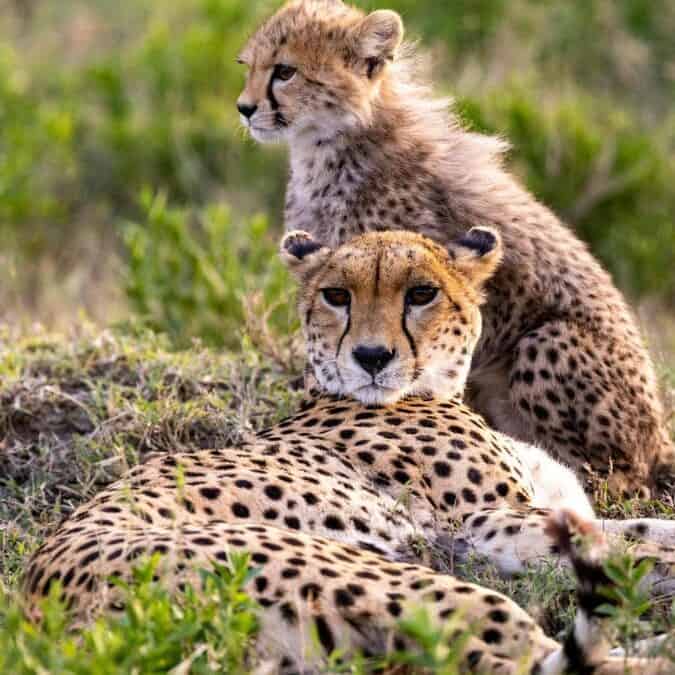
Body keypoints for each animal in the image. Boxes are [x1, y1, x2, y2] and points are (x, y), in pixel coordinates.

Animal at [236, 0, 675, 497]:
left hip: (546, 342)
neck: (333, 144)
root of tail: (658, 439)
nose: (244, 108)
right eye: (248, 66)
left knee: (622, 479)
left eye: (285, 71)